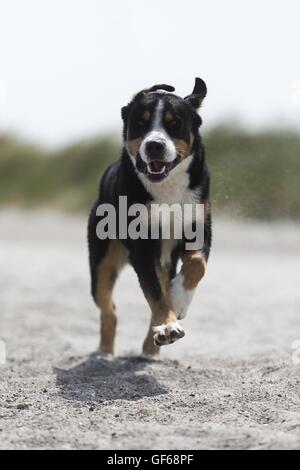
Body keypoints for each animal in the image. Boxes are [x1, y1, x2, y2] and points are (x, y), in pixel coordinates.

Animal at [88, 78, 212, 356]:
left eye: (174, 122)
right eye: (141, 122)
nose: (155, 144)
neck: (166, 189)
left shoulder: (199, 230)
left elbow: (195, 265)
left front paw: (178, 300)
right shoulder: (142, 247)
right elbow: (154, 292)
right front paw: (167, 325)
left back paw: (151, 347)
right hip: (101, 263)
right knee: (108, 309)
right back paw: (105, 350)